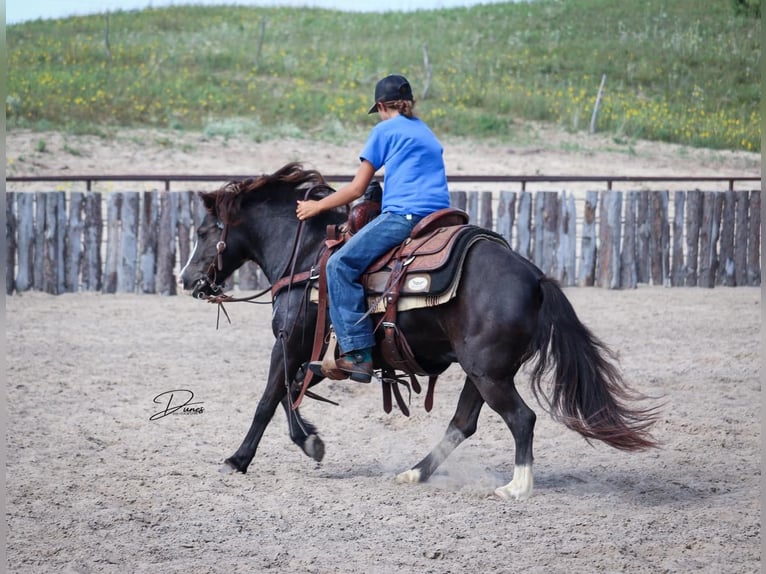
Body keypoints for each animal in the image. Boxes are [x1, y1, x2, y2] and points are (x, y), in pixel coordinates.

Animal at [182, 163, 660, 504]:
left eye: (204, 231)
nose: (188, 280)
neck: (307, 257)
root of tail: (535, 277)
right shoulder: (319, 355)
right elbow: (290, 392)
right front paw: (311, 441)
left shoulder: (289, 342)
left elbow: (268, 399)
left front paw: (238, 460)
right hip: (482, 372)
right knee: (462, 424)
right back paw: (415, 472)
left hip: (488, 374)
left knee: (521, 419)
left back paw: (516, 486)